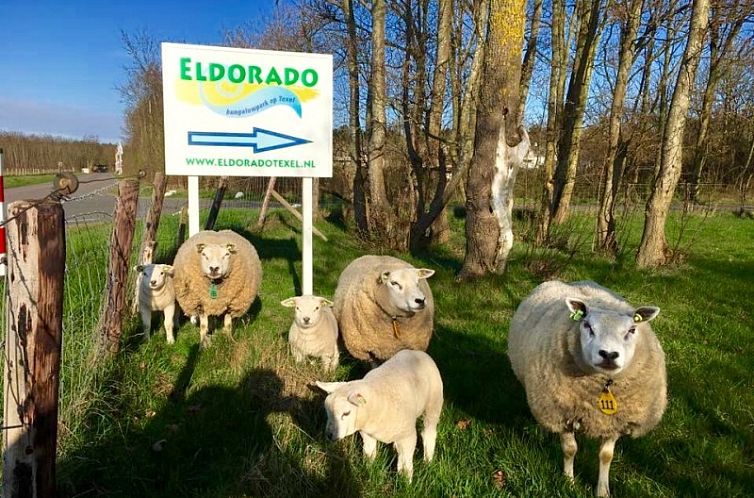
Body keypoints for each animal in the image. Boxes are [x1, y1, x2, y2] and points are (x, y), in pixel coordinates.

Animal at [316, 348, 444, 480]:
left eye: (346, 413)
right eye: (327, 411)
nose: (329, 435)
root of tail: (417, 352)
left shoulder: (407, 436)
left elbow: (405, 464)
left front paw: (405, 481)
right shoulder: (367, 435)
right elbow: (369, 454)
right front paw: (367, 472)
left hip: (433, 404)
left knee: (429, 433)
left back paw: (427, 460)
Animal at [506, 280, 664, 498]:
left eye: (632, 330)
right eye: (588, 326)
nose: (609, 354)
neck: (603, 387)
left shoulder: (615, 420)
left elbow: (606, 455)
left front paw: (602, 490)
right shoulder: (562, 412)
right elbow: (570, 449)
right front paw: (568, 482)